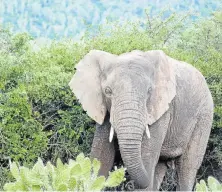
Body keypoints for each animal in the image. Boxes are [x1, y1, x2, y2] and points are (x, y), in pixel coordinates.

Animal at [69, 49, 213, 190]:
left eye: (149, 91)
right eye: (107, 91)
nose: (123, 176)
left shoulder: (162, 110)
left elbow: (146, 157)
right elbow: (101, 157)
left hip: (204, 115)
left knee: (187, 166)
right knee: (160, 166)